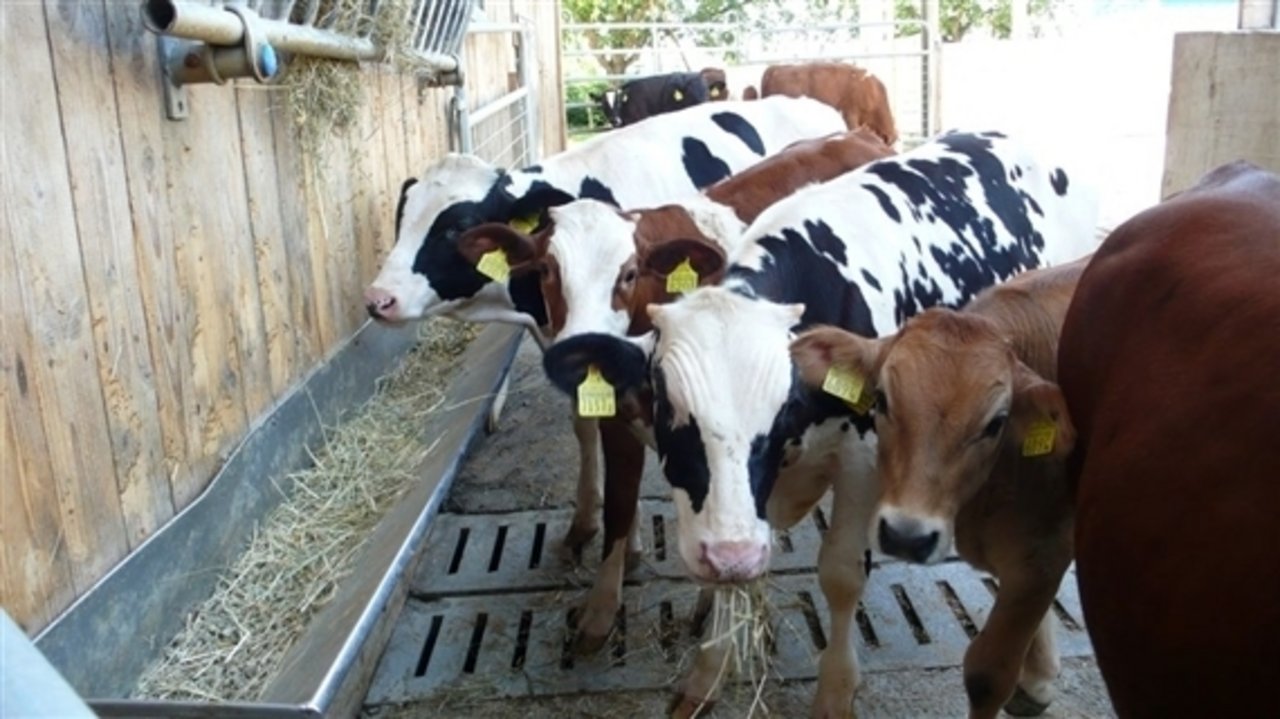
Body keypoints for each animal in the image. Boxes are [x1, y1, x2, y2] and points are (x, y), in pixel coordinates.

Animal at [455, 126, 896, 652]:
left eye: (628, 273)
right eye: (545, 270)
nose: (579, 339)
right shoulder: (620, 417)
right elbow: (621, 502)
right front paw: (604, 604)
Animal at [788, 254, 1090, 711]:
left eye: (996, 422)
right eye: (881, 399)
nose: (906, 536)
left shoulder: (1043, 556)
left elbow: (987, 675)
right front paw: (1038, 676)